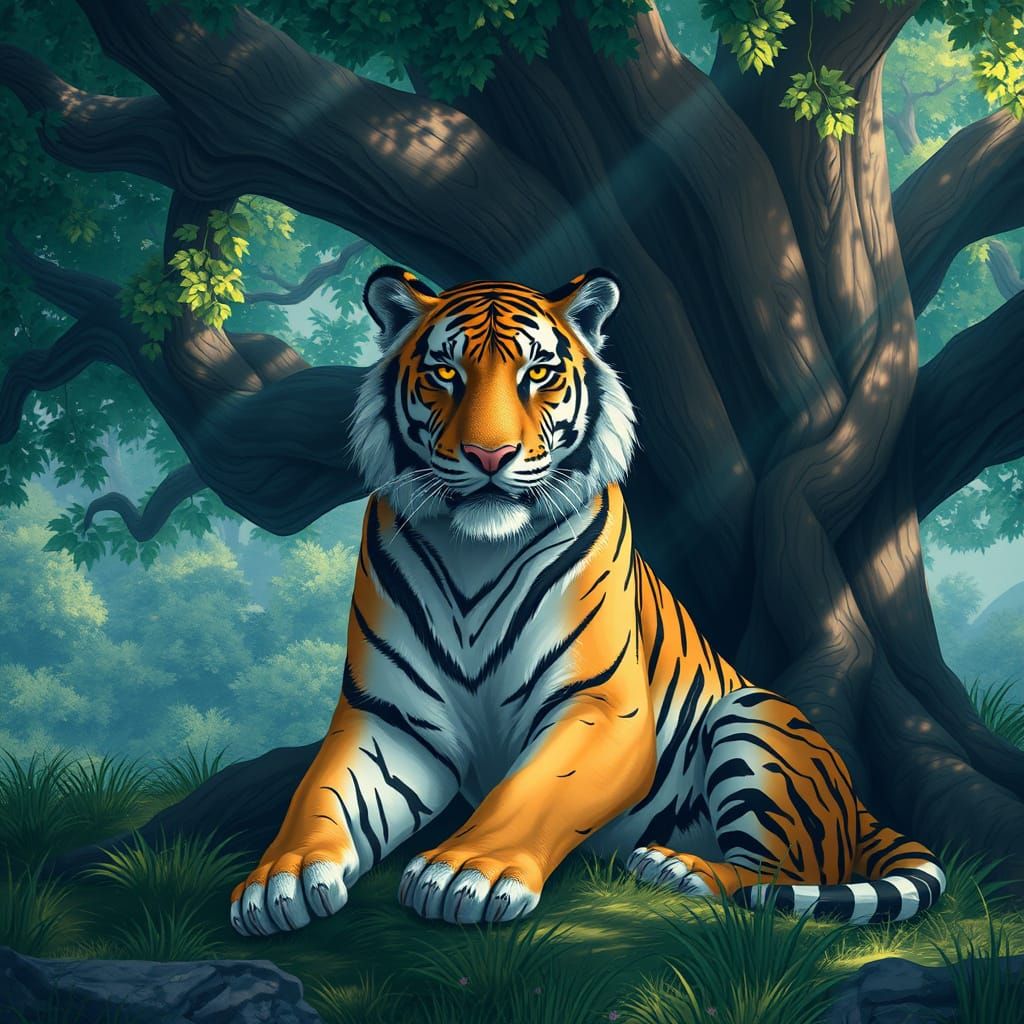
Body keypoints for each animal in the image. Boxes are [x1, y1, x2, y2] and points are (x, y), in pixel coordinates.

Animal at [229, 266, 946, 935]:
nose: (489, 454)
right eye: (445, 372)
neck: (474, 553)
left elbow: (530, 791)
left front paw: (466, 870)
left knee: (780, 875)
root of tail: (855, 805)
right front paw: (281, 878)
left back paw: (679, 868)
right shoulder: (390, 718)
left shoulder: (602, 706)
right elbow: (322, 795)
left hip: (752, 714)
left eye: (538, 372)